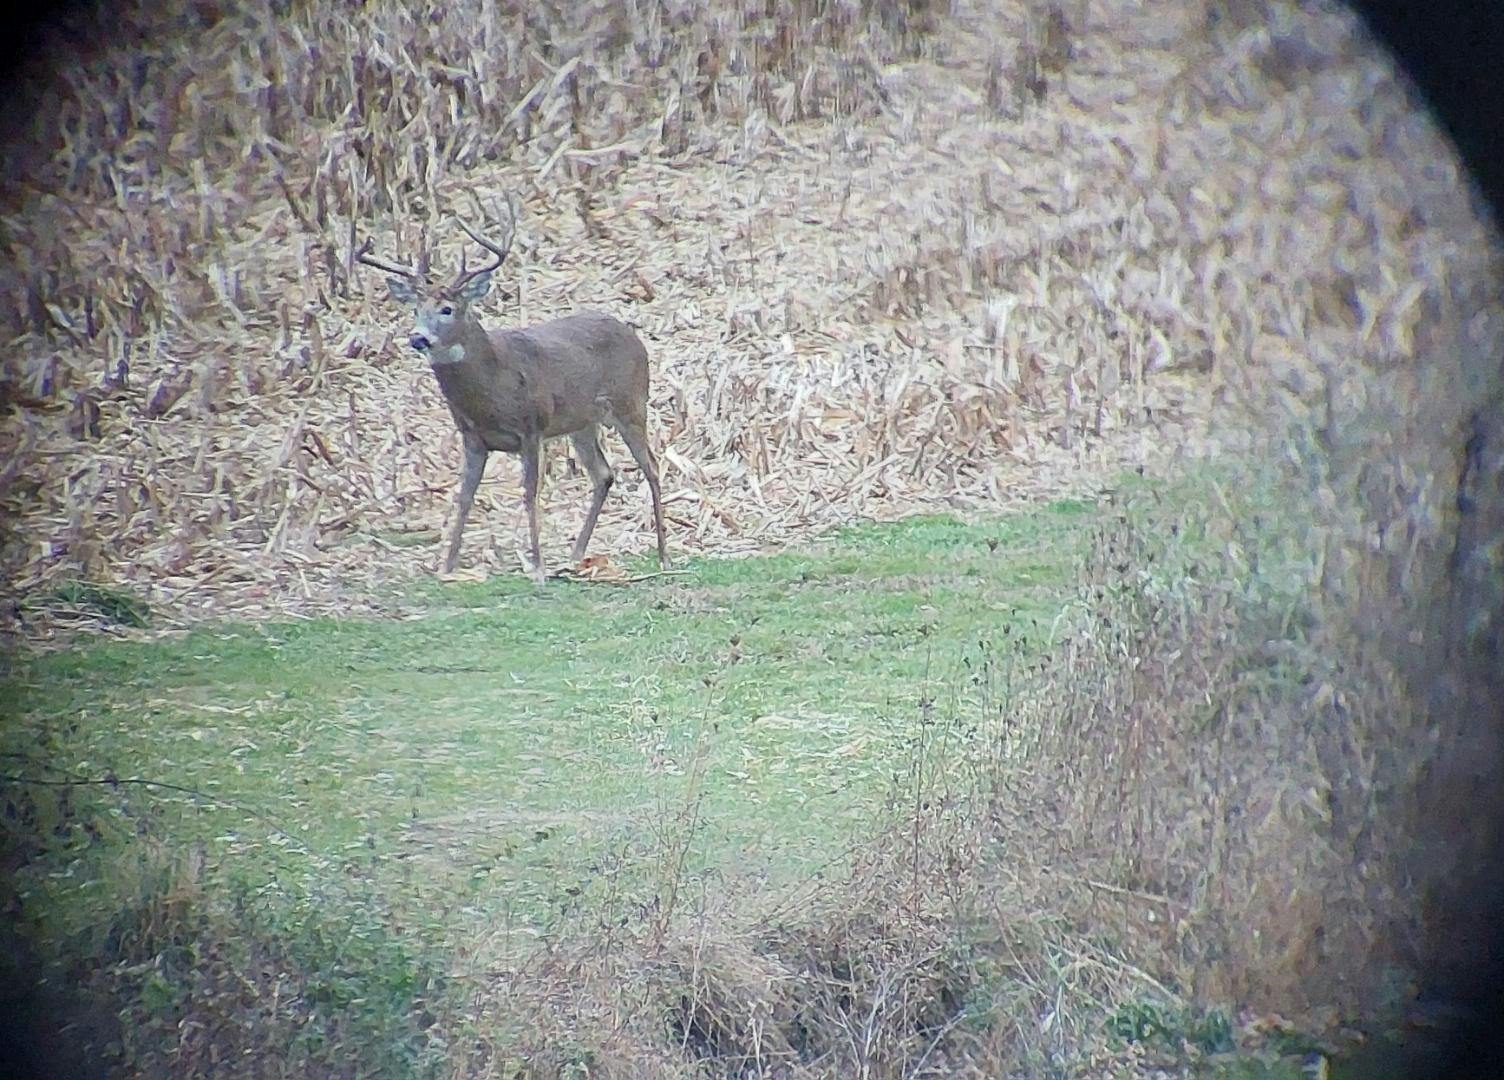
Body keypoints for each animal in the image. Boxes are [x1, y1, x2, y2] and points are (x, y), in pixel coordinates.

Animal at [357, 199, 668, 584]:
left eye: (447, 309)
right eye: (415, 309)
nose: (418, 338)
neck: (492, 389)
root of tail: (633, 336)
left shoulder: (531, 427)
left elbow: (529, 493)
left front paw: (537, 568)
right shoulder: (472, 437)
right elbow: (464, 497)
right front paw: (447, 567)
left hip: (631, 402)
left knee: (651, 466)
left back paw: (663, 555)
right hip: (582, 422)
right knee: (603, 474)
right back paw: (576, 556)